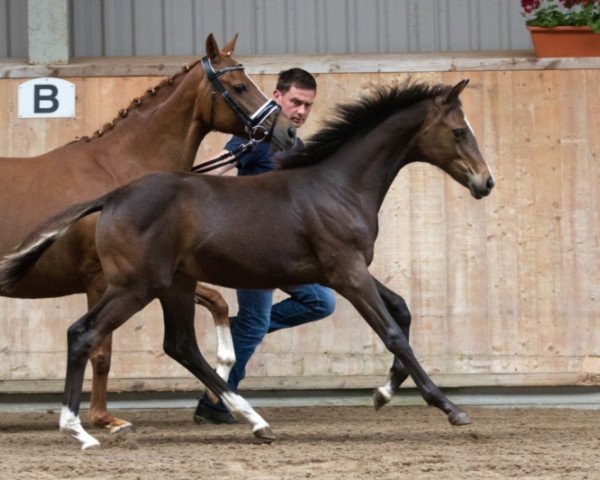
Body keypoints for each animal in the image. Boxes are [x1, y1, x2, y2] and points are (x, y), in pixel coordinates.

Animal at [0, 32, 296, 432]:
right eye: (239, 86)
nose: (288, 130)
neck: (120, 170)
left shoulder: (160, 275)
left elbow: (217, 302)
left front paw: (221, 378)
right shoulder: (104, 280)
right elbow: (101, 350)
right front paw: (104, 419)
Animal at [0, 79, 494, 450]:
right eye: (458, 131)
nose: (485, 182)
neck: (337, 186)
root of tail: (114, 196)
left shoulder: (345, 271)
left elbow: (403, 311)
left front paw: (383, 393)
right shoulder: (348, 272)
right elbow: (392, 332)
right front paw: (449, 407)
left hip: (174, 284)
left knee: (181, 345)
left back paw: (254, 419)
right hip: (133, 286)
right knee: (84, 335)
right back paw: (79, 430)